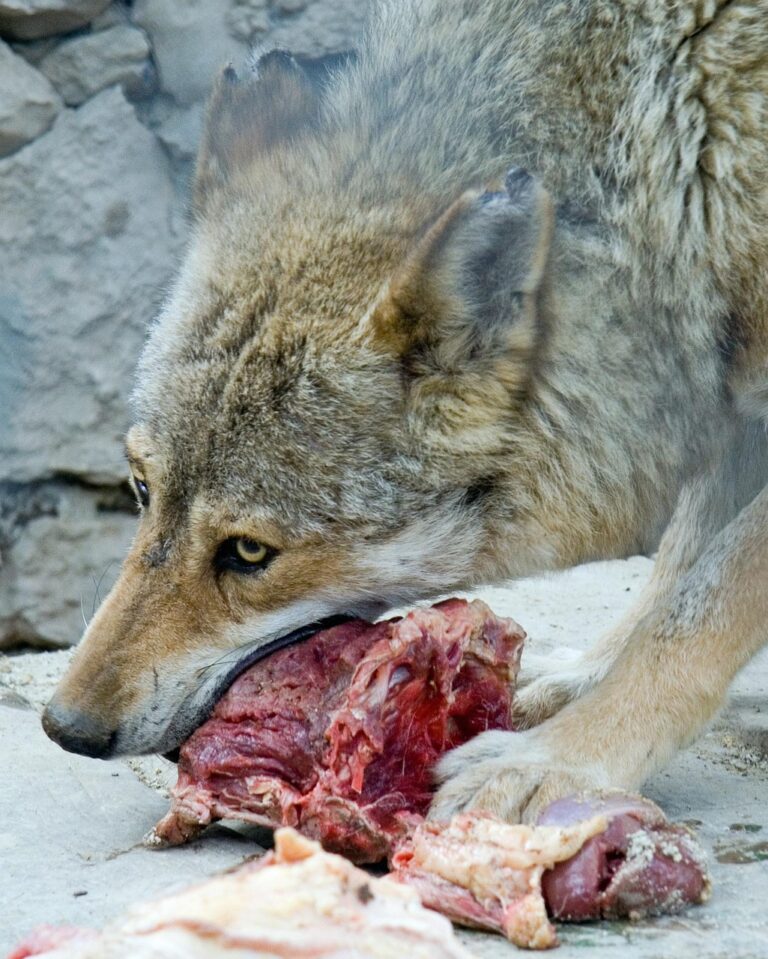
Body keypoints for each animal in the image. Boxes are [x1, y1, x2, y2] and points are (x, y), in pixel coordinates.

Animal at [43, 0, 768, 823]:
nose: (65, 726)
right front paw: (582, 679)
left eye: (250, 552)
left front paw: (561, 760)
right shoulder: (723, 394)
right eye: (141, 488)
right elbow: (677, 576)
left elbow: (701, 609)